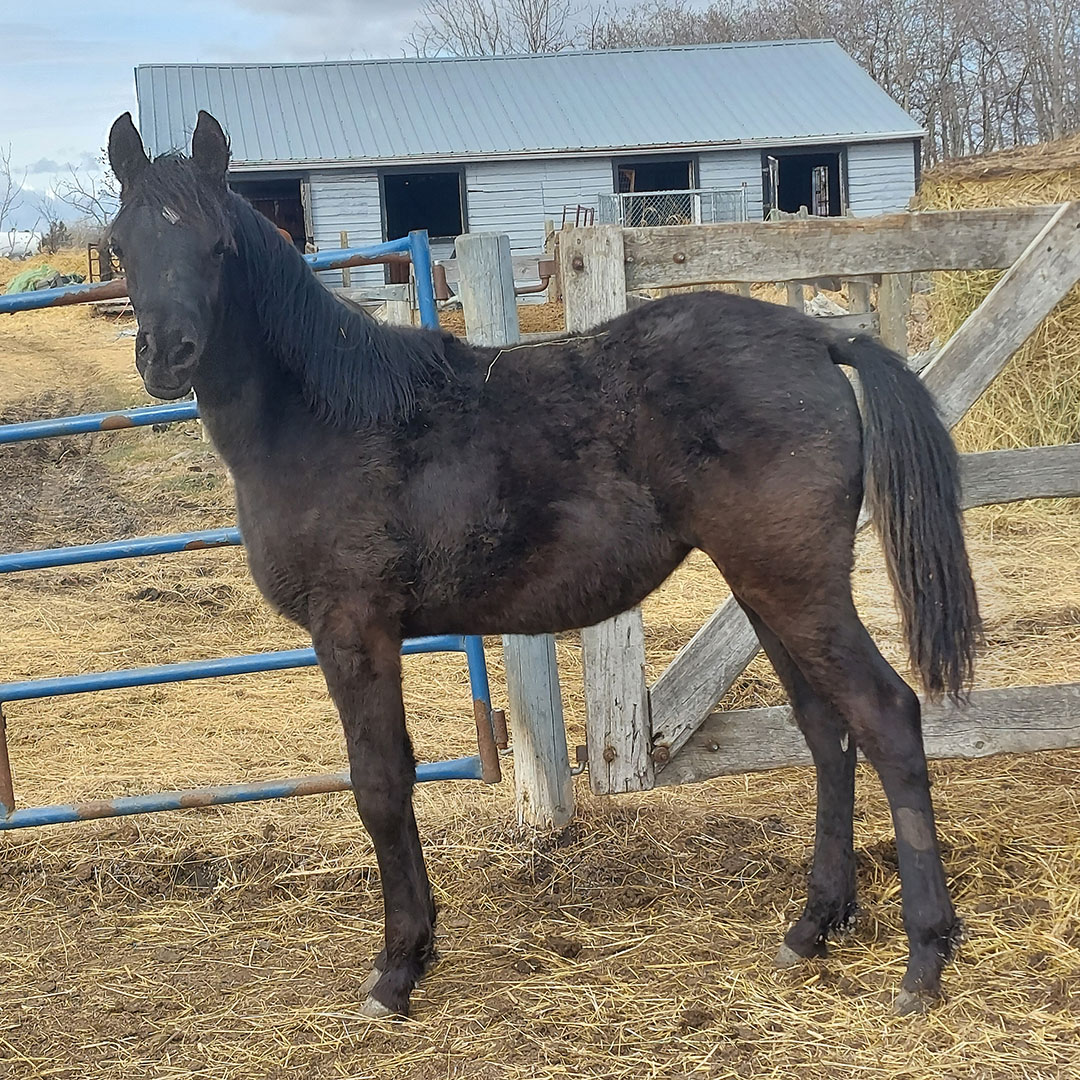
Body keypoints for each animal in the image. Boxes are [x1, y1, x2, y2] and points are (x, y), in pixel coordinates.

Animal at [107, 113, 980, 1015]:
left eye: (216, 244)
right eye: (121, 243)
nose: (167, 355)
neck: (323, 417)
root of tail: (818, 336)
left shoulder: (352, 627)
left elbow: (380, 784)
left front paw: (398, 966)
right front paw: (418, 949)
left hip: (795, 586)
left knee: (885, 718)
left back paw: (924, 958)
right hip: (765, 589)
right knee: (825, 731)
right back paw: (812, 926)